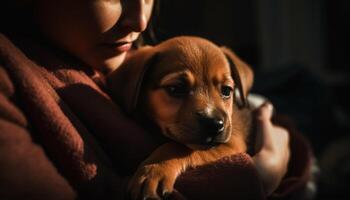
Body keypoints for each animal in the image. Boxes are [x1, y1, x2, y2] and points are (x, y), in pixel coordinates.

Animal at [108, 36, 253, 200]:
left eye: (227, 91)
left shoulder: (233, 142)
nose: (215, 125)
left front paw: (154, 170)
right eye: (176, 89)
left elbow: (178, 146)